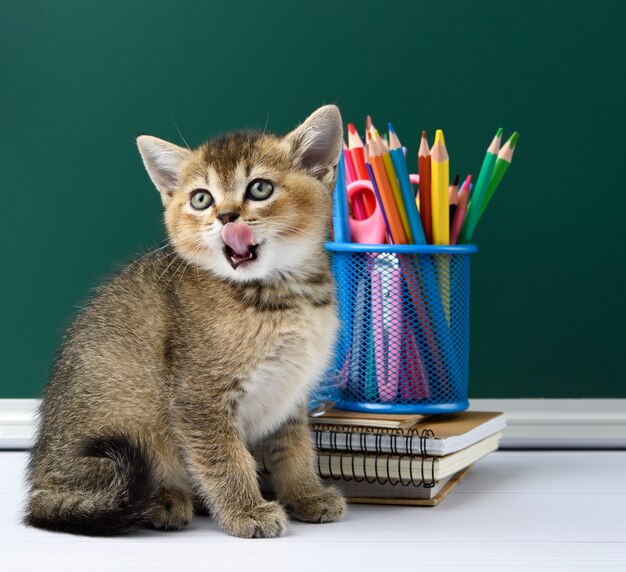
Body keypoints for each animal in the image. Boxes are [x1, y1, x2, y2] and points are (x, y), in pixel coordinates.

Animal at [24, 105, 346, 540]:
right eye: (201, 198)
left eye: (259, 189)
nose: (226, 215)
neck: (282, 295)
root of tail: (39, 483)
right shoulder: (198, 397)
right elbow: (226, 458)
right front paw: (247, 512)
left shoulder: (290, 394)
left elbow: (295, 448)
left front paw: (306, 495)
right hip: (124, 429)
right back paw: (163, 501)